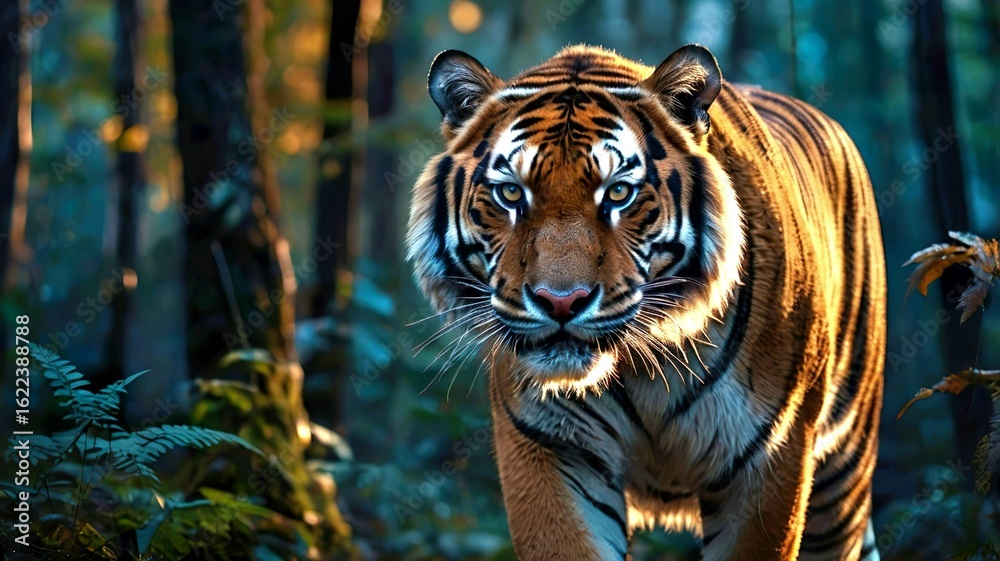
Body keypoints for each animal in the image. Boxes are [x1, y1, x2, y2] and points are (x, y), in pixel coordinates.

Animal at [406, 44, 885, 560]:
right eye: (511, 192)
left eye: (618, 192)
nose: (560, 301)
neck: (644, 369)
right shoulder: (550, 447)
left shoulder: (770, 456)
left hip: (842, 479)